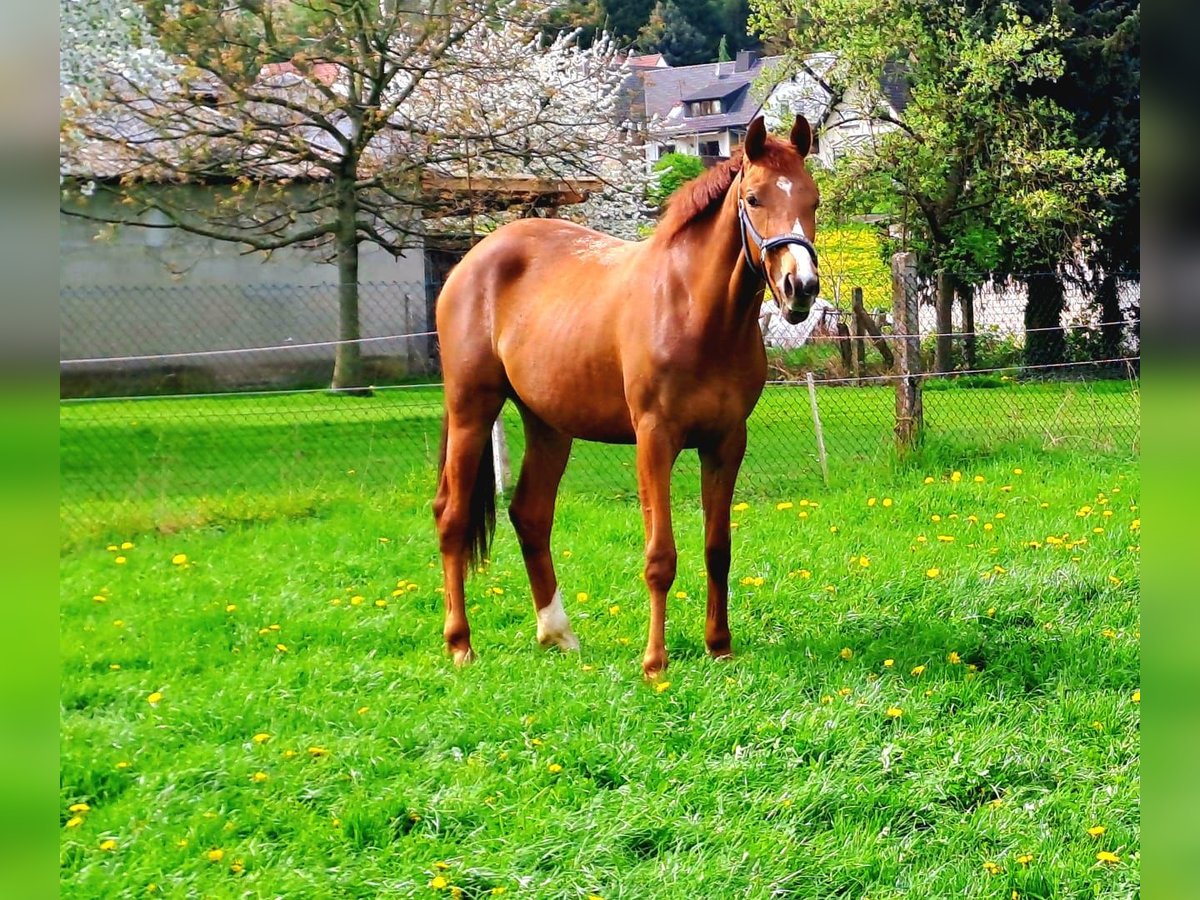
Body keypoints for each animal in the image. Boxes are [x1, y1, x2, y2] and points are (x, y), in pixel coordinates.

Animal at [432, 114, 816, 676]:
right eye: (754, 198)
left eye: (814, 200)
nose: (800, 287)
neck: (695, 311)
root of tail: (471, 261)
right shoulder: (655, 440)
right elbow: (660, 557)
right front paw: (655, 662)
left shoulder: (726, 442)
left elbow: (717, 548)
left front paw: (719, 646)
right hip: (471, 409)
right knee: (453, 517)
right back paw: (460, 643)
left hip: (548, 426)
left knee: (530, 514)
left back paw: (557, 634)